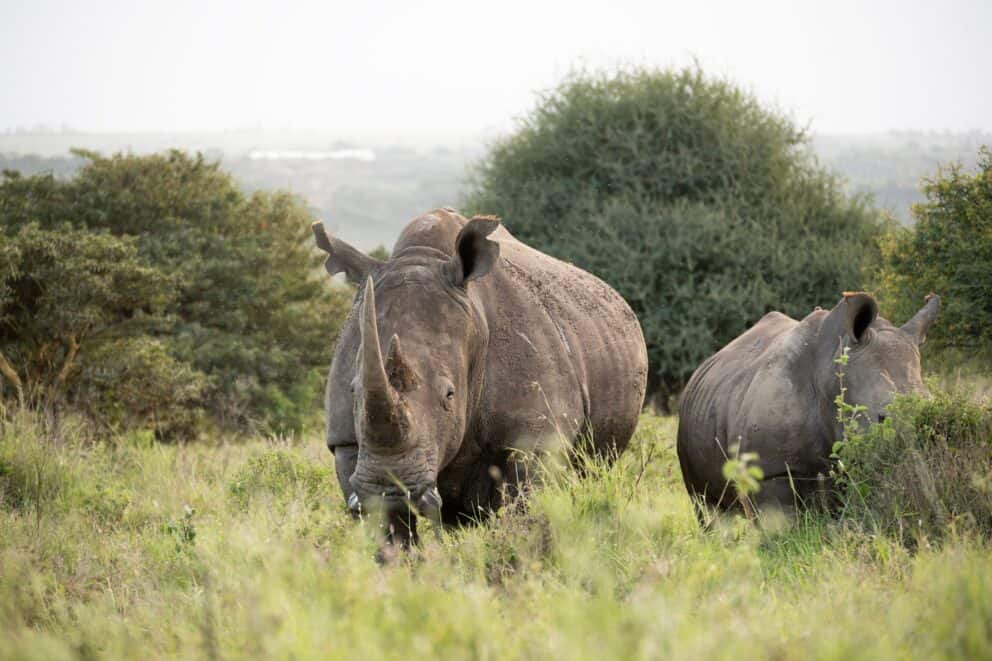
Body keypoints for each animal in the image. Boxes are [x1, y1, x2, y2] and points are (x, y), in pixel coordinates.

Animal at [313, 208, 648, 546]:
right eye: (353, 391)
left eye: (449, 395)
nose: (390, 491)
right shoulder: (346, 442)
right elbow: (390, 536)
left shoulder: (538, 440)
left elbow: (526, 518)